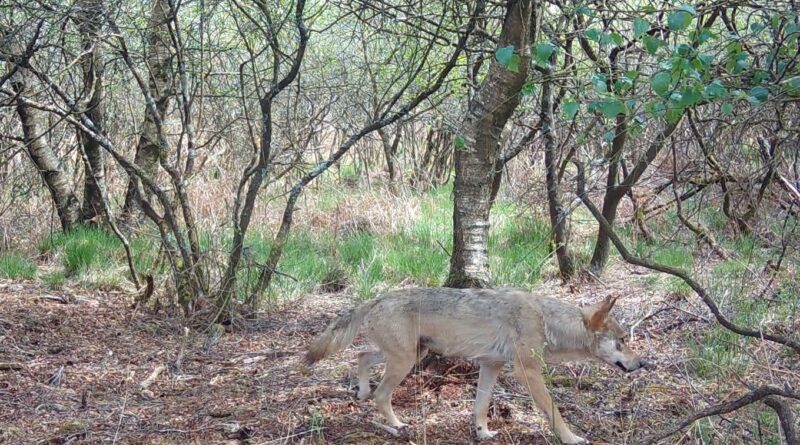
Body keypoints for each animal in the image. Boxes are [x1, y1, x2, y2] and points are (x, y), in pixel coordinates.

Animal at [304, 286, 648, 442]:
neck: (547, 322)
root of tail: (376, 298)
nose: (642, 363)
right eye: (622, 340)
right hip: (405, 362)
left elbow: (481, 405)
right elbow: (554, 411)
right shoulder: (528, 373)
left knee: (361, 356)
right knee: (380, 394)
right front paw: (572, 439)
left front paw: (482, 433)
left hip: (411, 356)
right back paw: (397, 425)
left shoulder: (490, 366)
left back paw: (361, 392)